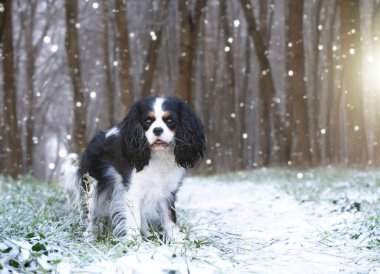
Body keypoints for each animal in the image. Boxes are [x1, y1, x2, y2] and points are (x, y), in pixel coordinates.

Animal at [61, 96, 205, 242]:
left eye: (170, 121)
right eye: (147, 121)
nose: (157, 130)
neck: (159, 156)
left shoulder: (167, 193)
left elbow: (169, 219)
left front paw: (177, 241)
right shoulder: (133, 191)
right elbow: (134, 220)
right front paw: (134, 243)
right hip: (92, 187)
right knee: (91, 215)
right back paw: (89, 236)